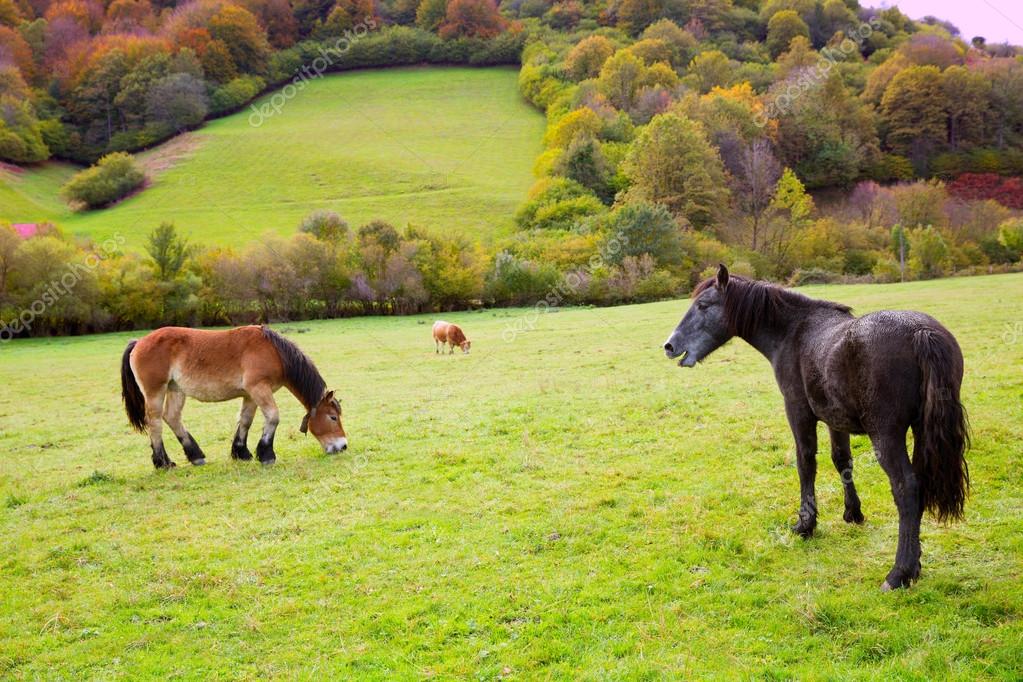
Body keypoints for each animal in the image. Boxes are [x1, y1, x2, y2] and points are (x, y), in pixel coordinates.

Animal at [120, 327, 347, 470]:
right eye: (333, 417)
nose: (343, 446)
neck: (274, 352)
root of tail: (139, 342)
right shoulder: (259, 389)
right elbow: (273, 417)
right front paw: (267, 455)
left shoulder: (250, 395)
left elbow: (245, 421)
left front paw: (241, 452)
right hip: (155, 392)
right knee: (155, 422)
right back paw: (163, 462)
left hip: (176, 390)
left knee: (172, 417)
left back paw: (196, 456)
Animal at [658, 263, 969, 588]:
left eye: (703, 305)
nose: (669, 345)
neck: (794, 332)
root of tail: (921, 332)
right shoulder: (835, 419)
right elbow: (842, 461)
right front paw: (852, 513)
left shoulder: (799, 413)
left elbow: (805, 463)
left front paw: (805, 524)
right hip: (920, 431)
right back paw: (915, 565)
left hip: (886, 435)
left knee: (906, 488)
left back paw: (899, 573)